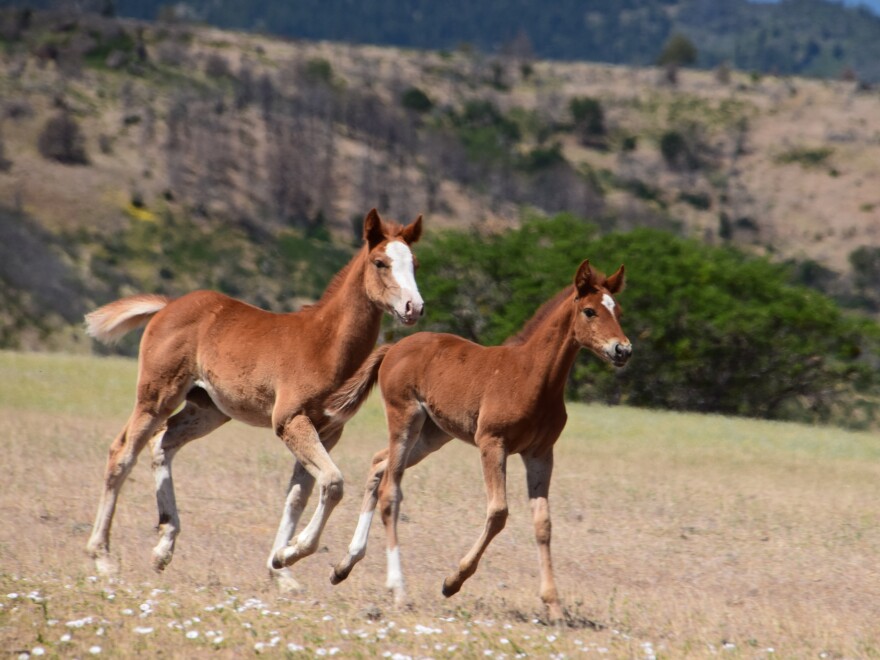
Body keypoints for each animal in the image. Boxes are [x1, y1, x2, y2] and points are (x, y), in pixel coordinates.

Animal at [85, 209, 422, 584]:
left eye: (415, 263)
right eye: (380, 262)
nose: (414, 307)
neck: (325, 342)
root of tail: (168, 306)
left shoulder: (328, 430)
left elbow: (298, 495)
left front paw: (280, 568)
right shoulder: (289, 420)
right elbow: (333, 483)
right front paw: (292, 552)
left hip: (208, 409)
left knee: (163, 443)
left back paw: (164, 546)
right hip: (157, 395)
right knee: (122, 453)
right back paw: (102, 557)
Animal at [326, 260, 628, 624]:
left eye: (618, 310)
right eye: (589, 311)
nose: (623, 350)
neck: (534, 376)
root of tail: (393, 348)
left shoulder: (541, 453)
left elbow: (543, 523)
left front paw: (554, 605)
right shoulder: (492, 443)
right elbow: (498, 512)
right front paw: (452, 581)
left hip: (432, 434)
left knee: (377, 464)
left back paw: (344, 566)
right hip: (405, 420)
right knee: (390, 490)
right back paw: (398, 589)